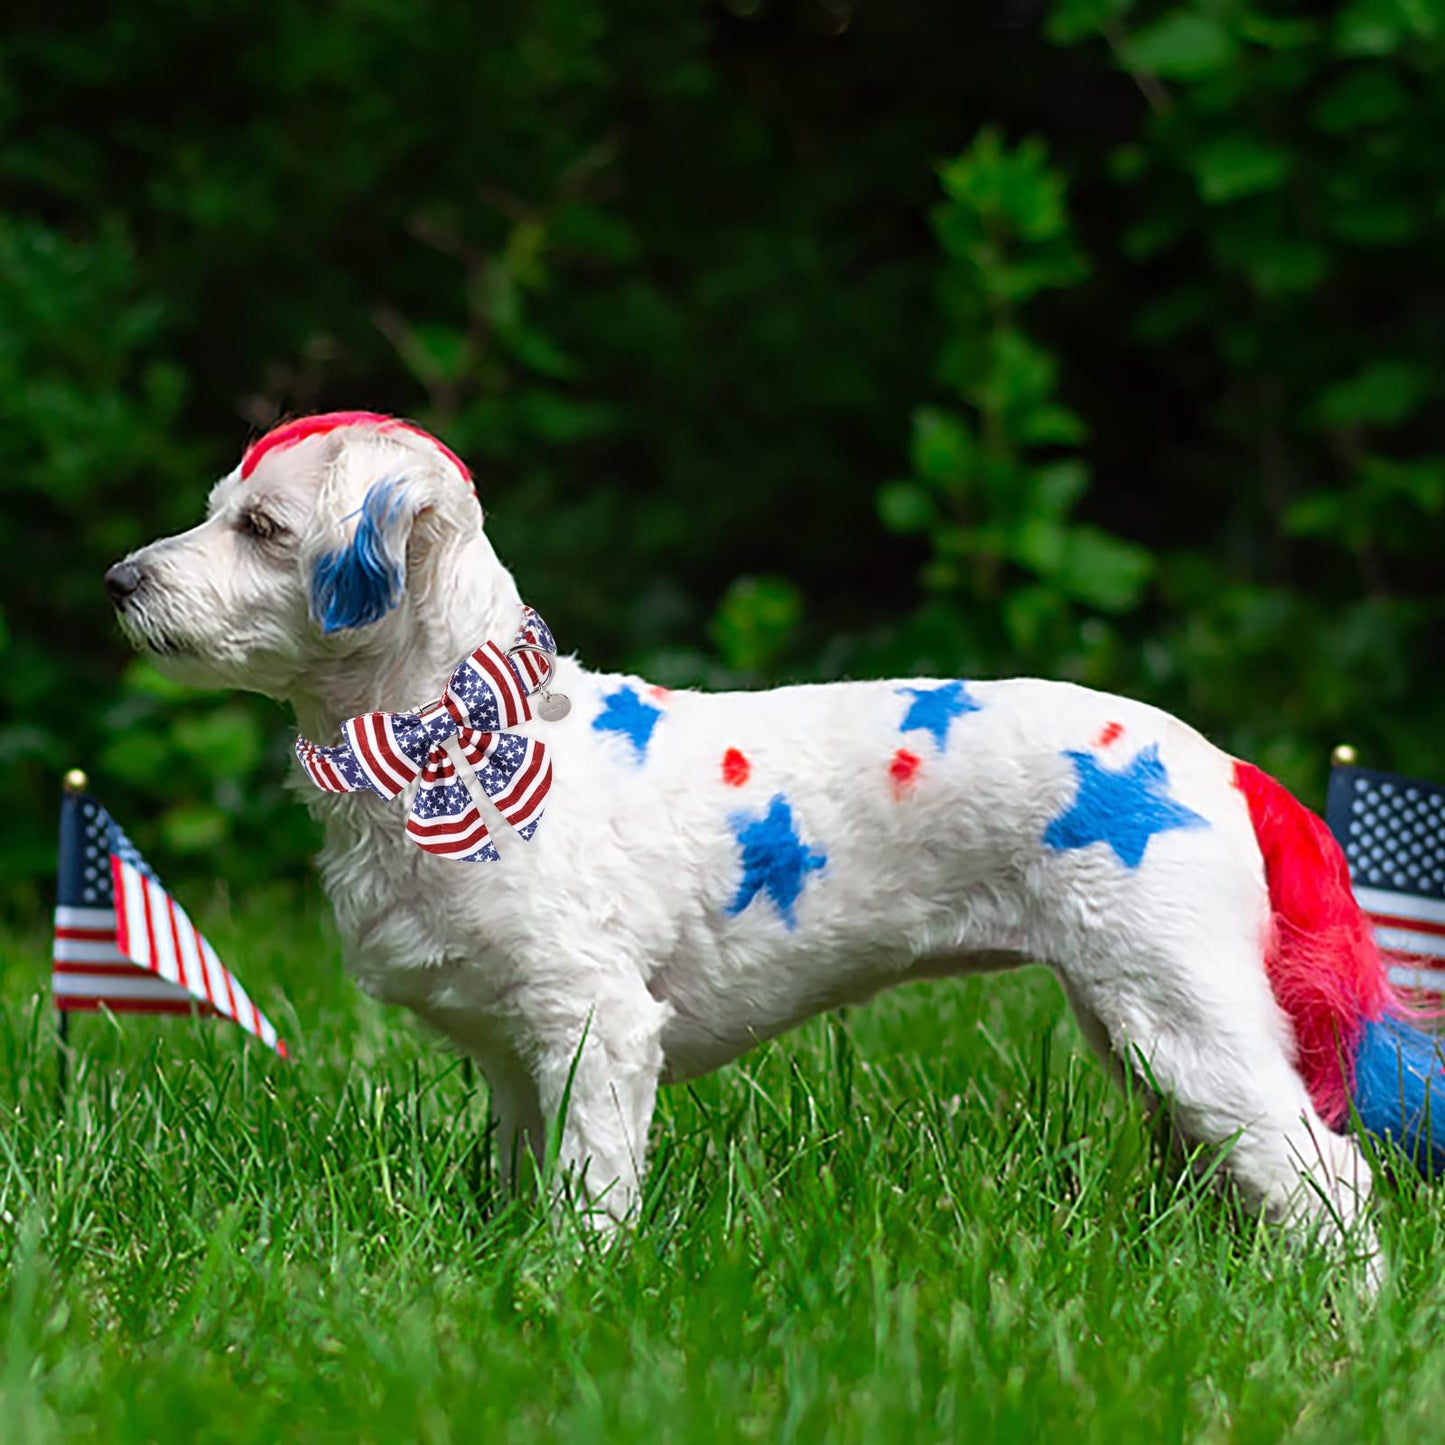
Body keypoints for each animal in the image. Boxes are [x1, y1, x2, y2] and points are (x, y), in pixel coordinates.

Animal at [104, 410, 1445, 1288]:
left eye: (263, 526)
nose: (118, 579)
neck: (457, 739)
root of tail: (1223, 766)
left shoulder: (597, 1029)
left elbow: (592, 1192)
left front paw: (570, 1288)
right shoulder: (513, 1057)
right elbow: (523, 1171)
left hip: (1181, 1012)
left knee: (1328, 1178)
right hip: (1138, 1026)